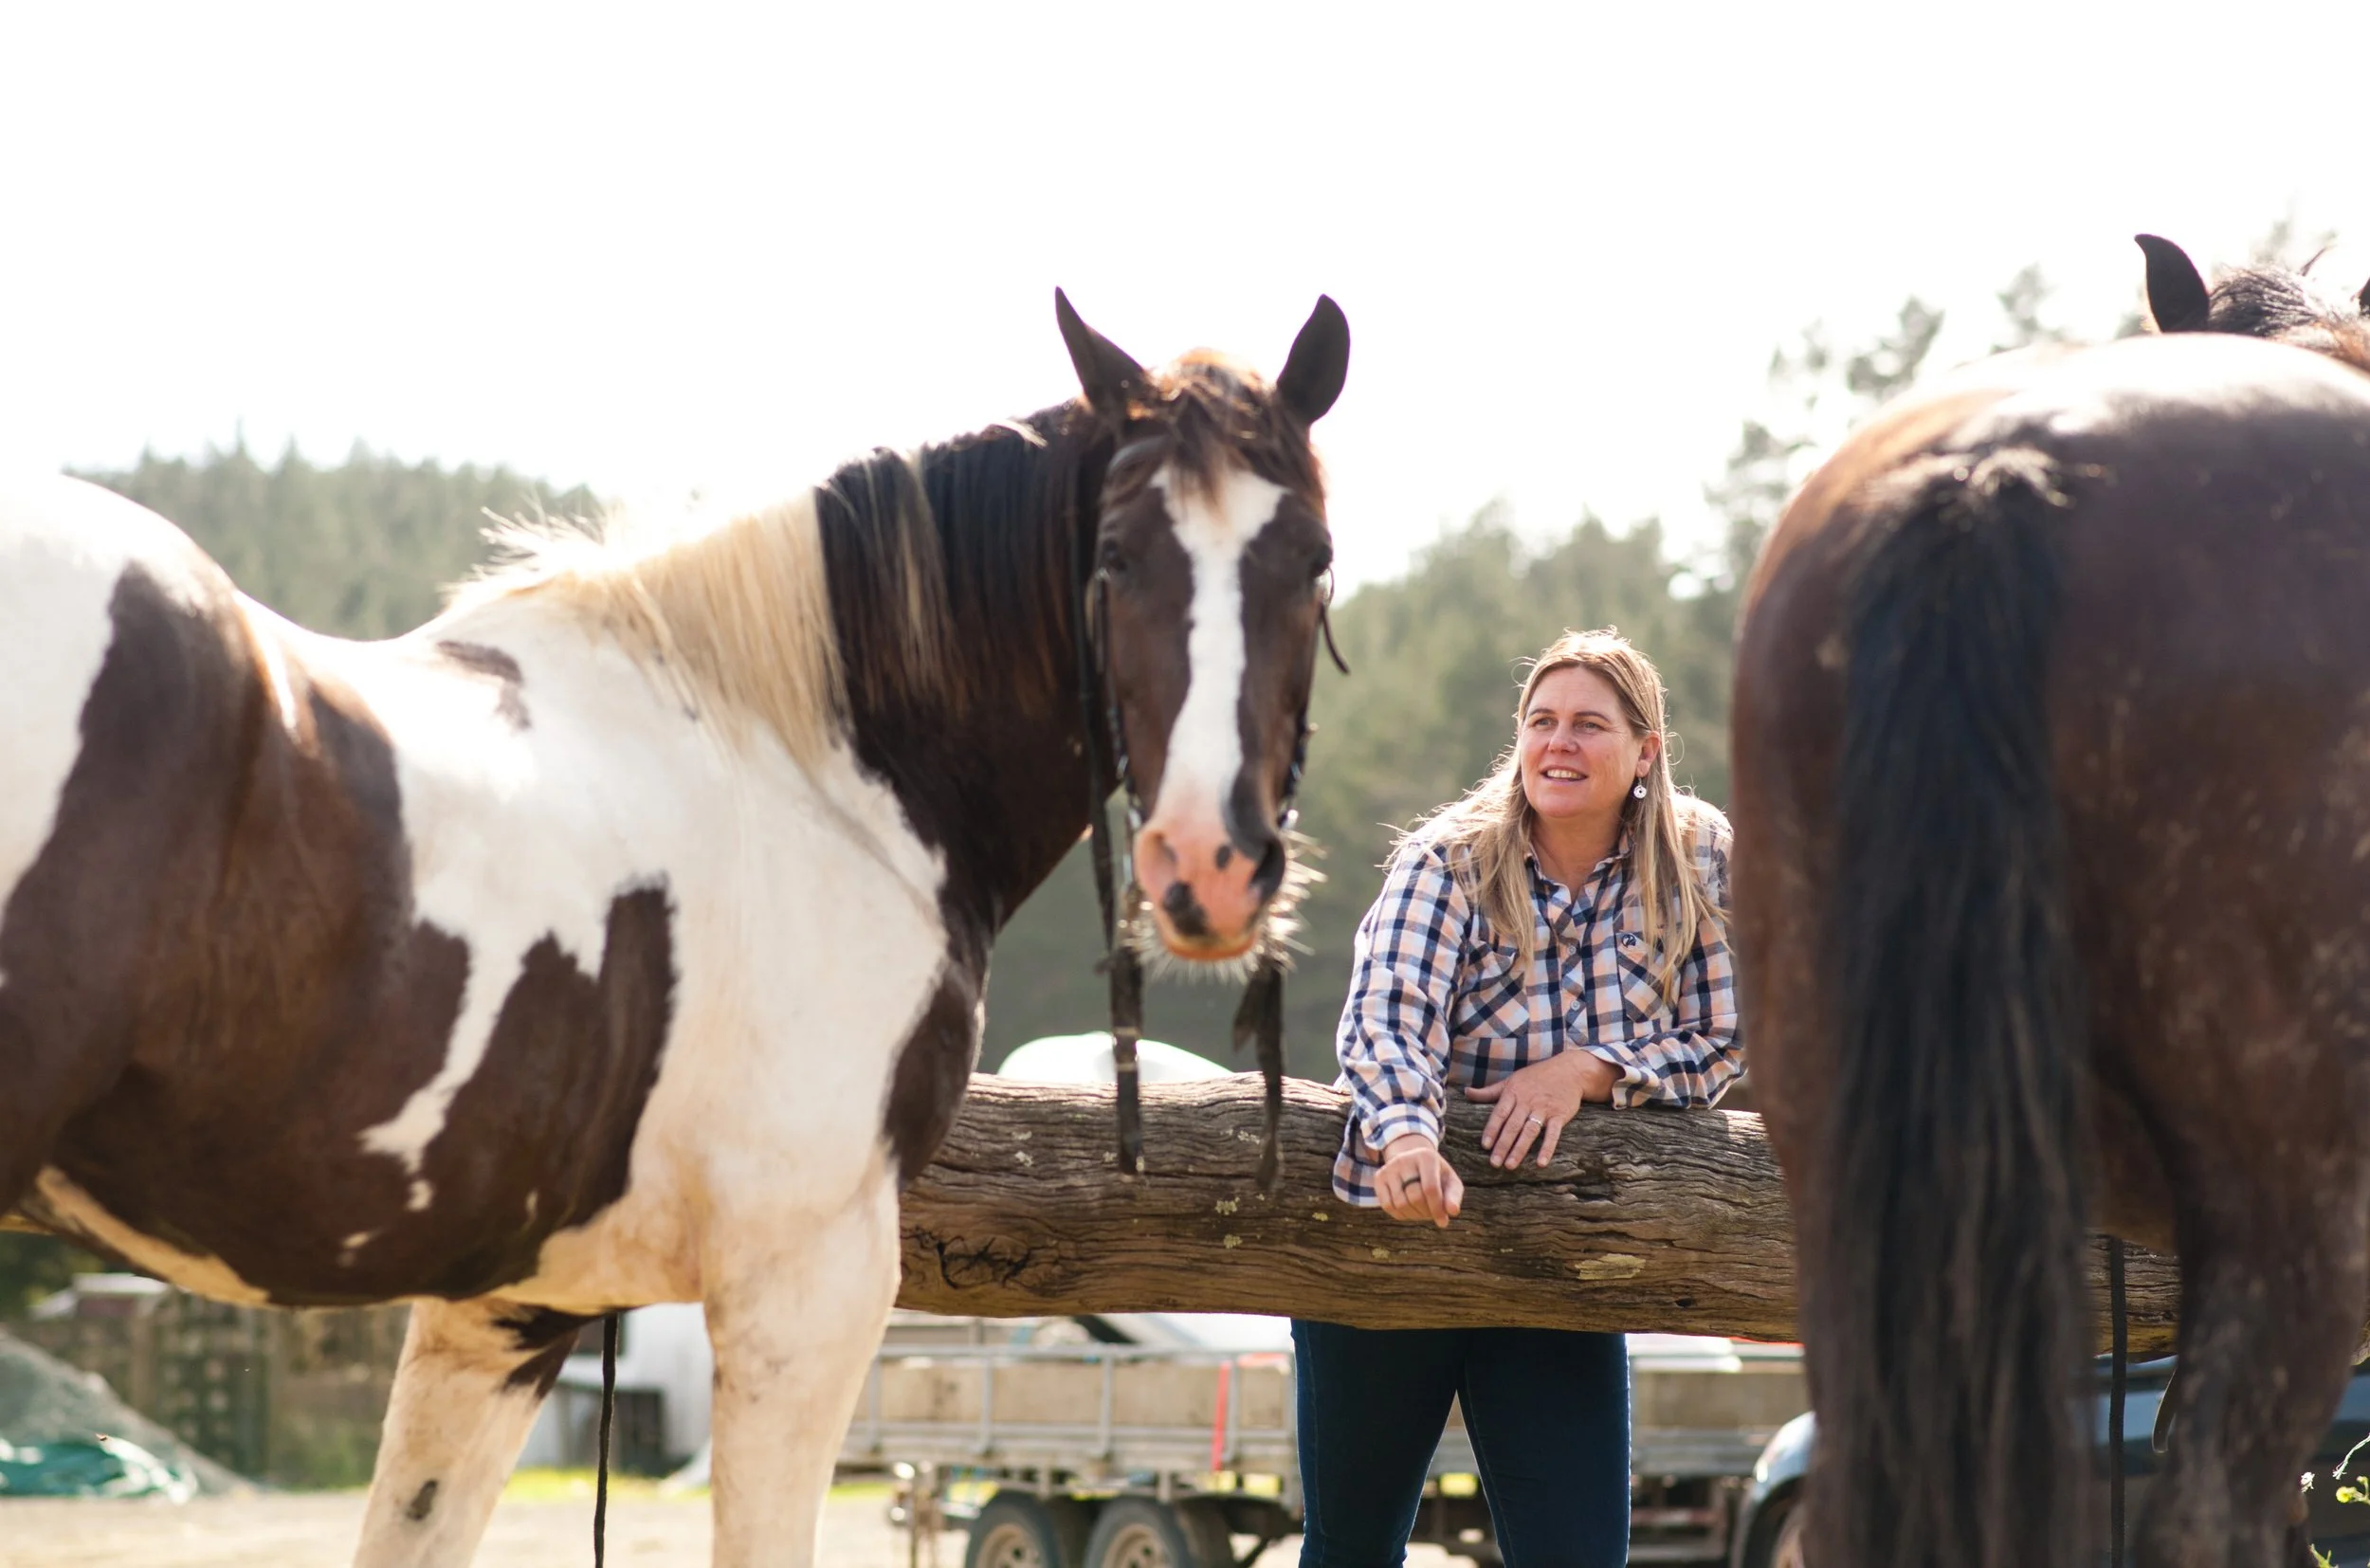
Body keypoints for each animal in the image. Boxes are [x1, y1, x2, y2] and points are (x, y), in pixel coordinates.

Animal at [0, 289, 1349, 1566]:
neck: (805, 764)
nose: (1210, 862)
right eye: (1113, 555)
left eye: (1315, 559)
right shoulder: (807, 1280)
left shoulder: (503, 1306)